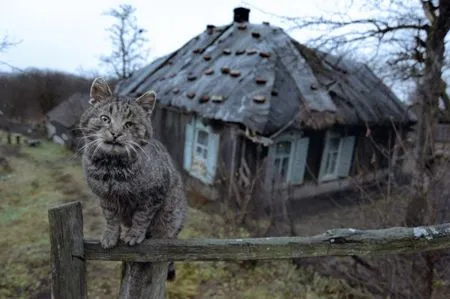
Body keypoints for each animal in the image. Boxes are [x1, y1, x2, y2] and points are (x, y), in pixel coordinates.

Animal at [80, 77, 187, 282]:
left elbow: (142, 216)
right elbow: (111, 218)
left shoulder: (154, 195)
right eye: (105, 119)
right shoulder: (105, 198)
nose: (115, 133)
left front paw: (135, 234)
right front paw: (111, 235)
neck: (112, 167)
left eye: (129, 124)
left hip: (172, 218)